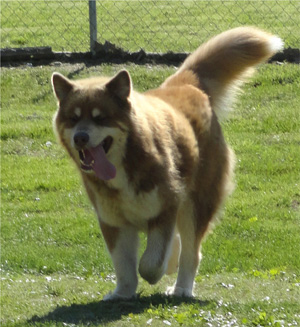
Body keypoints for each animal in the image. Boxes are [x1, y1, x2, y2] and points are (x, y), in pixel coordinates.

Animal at [51, 26, 284, 302]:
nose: (80, 137)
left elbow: (150, 264)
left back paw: (182, 287)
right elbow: (124, 266)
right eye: (73, 119)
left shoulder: (165, 208)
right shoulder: (113, 221)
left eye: (100, 118)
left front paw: (159, 272)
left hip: (197, 202)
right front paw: (122, 293)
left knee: (191, 251)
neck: (128, 159)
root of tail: (186, 83)